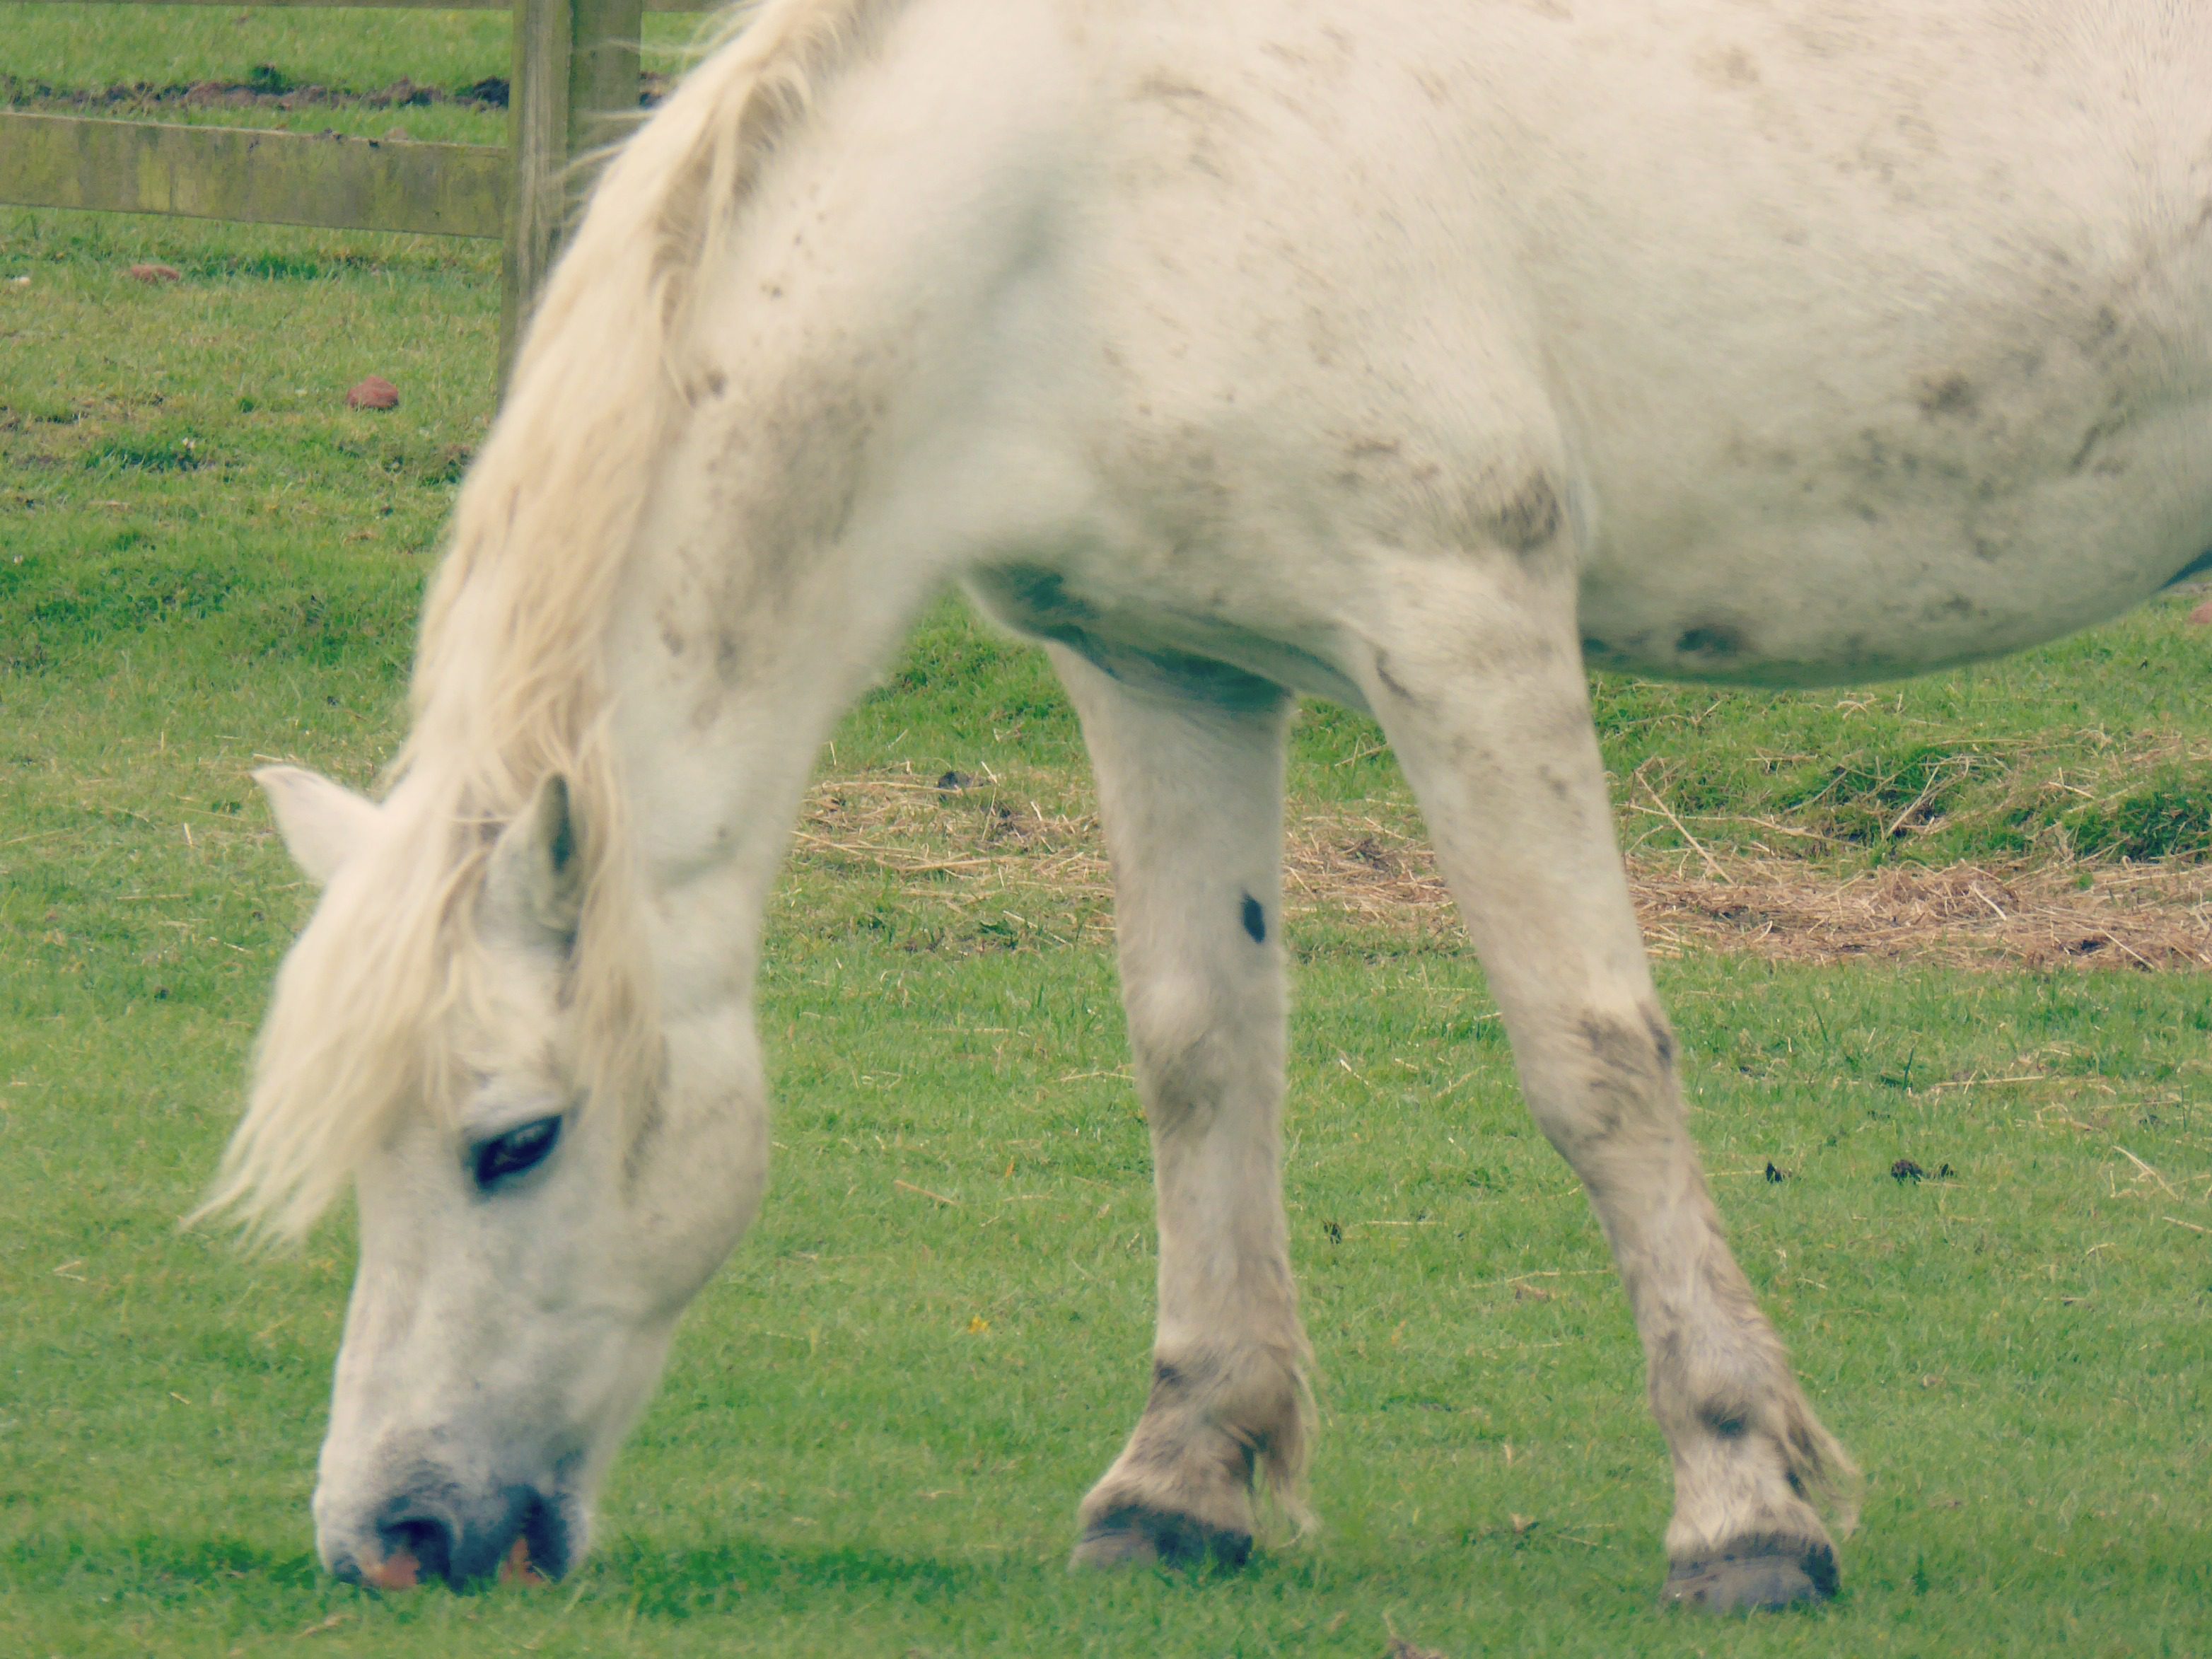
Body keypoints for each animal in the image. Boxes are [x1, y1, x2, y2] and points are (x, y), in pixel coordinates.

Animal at [203, 0, 2212, 1612]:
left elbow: (1592, 1066)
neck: (1078, 195)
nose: (389, 1535)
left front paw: (1739, 1510)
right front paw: (1179, 1480)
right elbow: (1197, 1048)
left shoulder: (1462, 633)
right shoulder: (1160, 667)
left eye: (515, 1141)